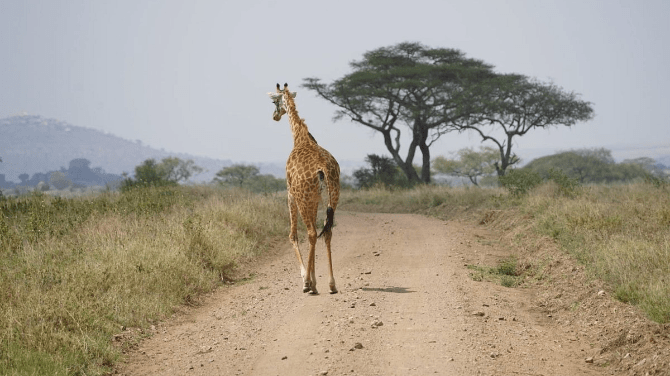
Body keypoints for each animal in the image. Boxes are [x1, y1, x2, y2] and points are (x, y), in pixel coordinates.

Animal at [268, 83, 342, 294]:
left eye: (274, 101)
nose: (275, 116)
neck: (301, 137)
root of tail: (323, 168)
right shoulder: (316, 198)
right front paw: (315, 281)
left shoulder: (289, 192)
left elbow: (292, 234)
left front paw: (307, 280)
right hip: (333, 195)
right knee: (326, 232)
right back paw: (332, 284)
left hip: (302, 197)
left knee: (310, 233)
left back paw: (307, 285)